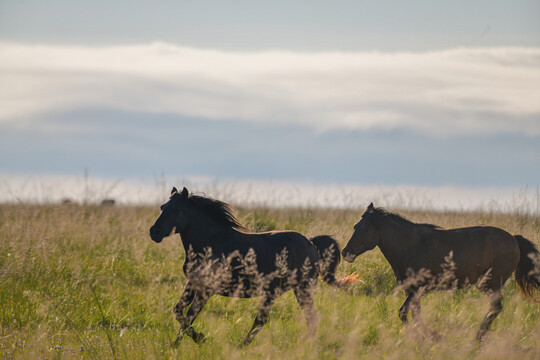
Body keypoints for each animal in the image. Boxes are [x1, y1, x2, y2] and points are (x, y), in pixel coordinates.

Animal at [150, 187, 356, 344]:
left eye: (177, 210)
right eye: (162, 207)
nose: (154, 232)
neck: (210, 242)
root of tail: (310, 243)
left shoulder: (207, 289)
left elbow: (190, 315)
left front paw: (200, 339)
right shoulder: (193, 283)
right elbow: (179, 312)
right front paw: (176, 345)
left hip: (294, 289)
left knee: (277, 319)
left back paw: (243, 344)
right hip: (285, 291)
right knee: (294, 319)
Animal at [342, 204, 540, 342]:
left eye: (365, 229)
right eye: (355, 226)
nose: (346, 252)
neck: (409, 245)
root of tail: (514, 239)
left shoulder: (418, 288)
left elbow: (403, 313)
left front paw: (430, 337)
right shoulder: (412, 291)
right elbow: (415, 314)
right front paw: (429, 337)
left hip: (488, 282)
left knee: (496, 306)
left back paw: (477, 337)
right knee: (495, 307)